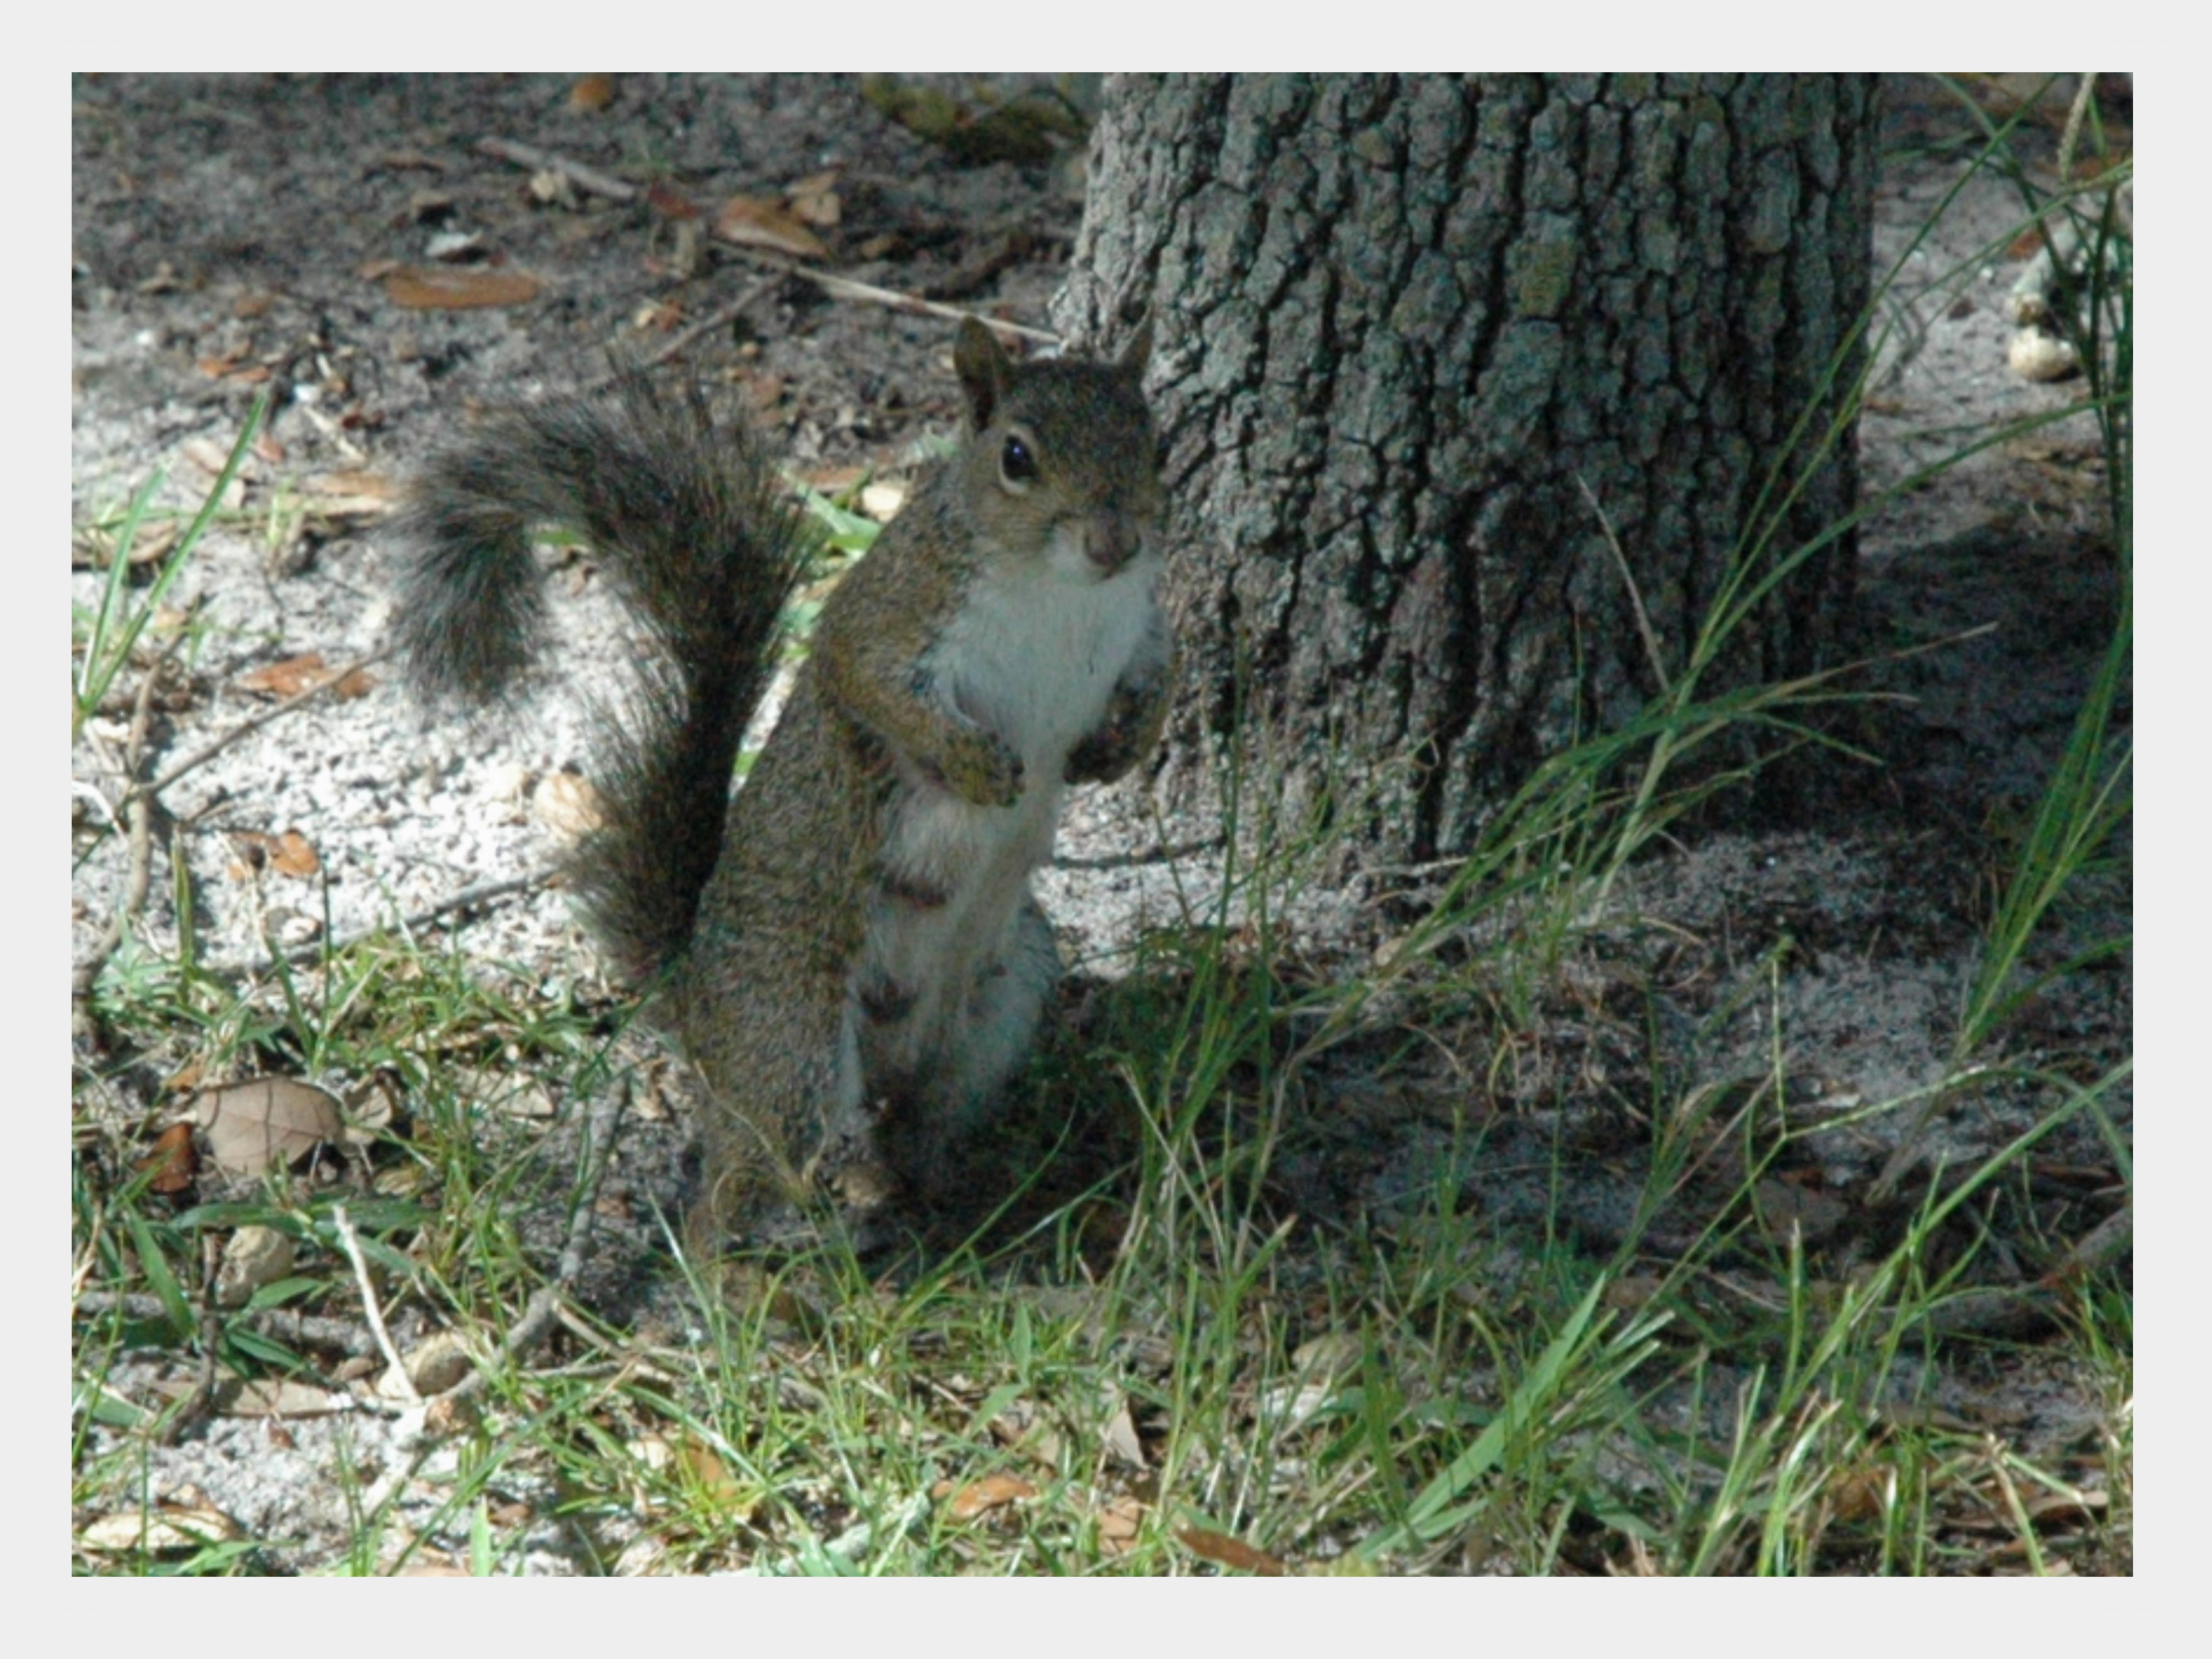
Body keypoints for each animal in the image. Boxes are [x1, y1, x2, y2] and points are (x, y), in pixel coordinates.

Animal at [391, 318, 1170, 1251]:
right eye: (1016, 456)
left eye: (1156, 440)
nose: (1116, 544)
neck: (1063, 596)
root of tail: (694, 998)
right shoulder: (889, 617)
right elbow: (869, 687)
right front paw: (976, 765)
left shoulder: (1137, 629)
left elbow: (1160, 686)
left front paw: (1116, 750)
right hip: (790, 1038)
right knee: (730, 1190)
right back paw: (740, 1269)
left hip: (1009, 988)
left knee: (919, 1121)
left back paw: (946, 1197)